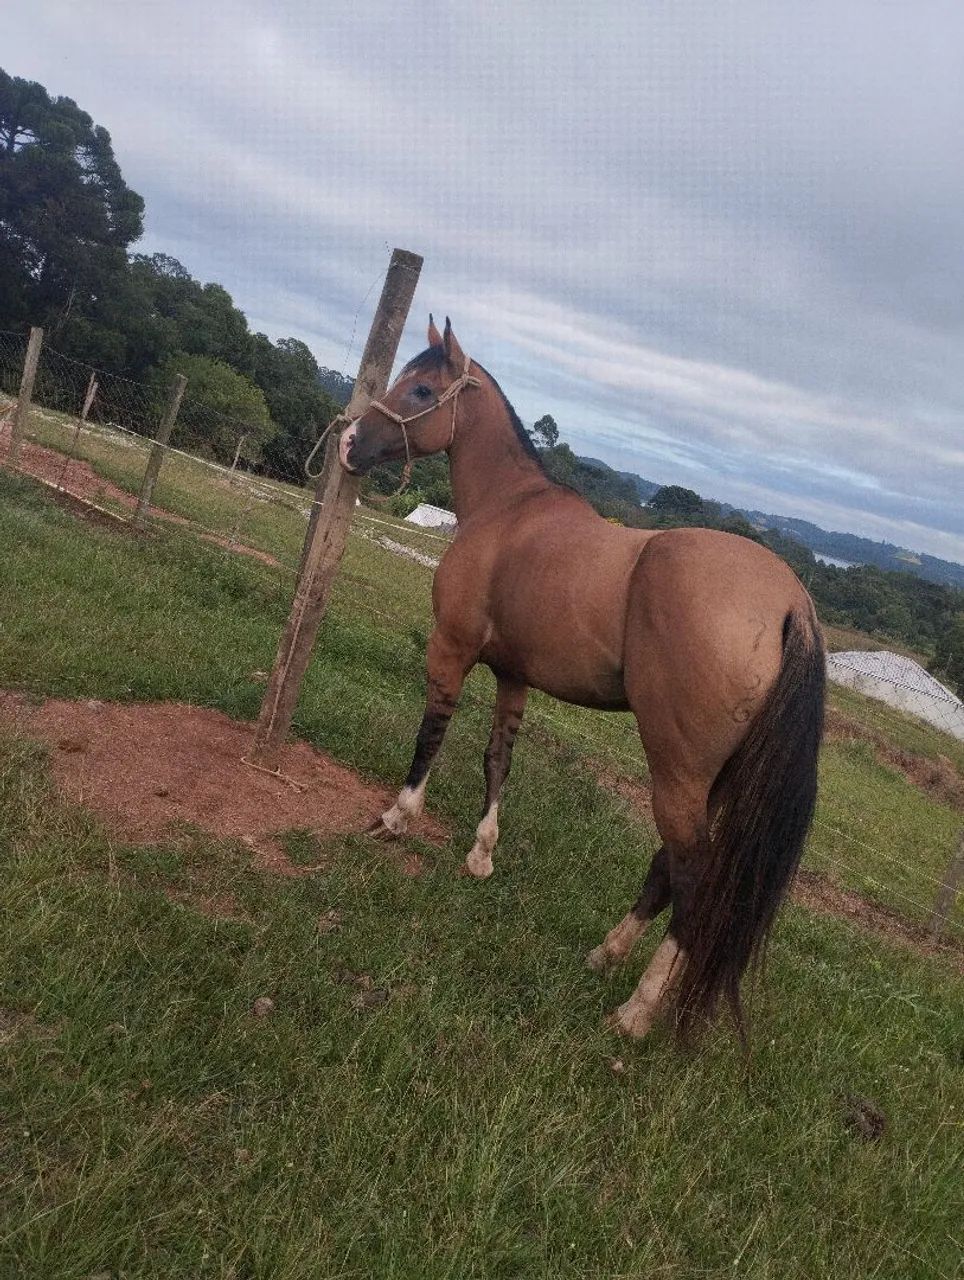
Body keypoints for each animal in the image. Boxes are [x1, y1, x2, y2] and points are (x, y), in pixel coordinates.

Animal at [338, 316, 825, 1039]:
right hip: (711, 783)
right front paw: (482, 854)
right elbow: (497, 759)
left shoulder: (451, 650)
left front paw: (398, 816)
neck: (509, 509)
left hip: (677, 772)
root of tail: (792, 601)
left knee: (693, 874)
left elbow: (432, 735)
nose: (349, 443)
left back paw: (636, 1012)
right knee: (667, 868)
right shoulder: (514, 677)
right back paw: (605, 954)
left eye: (421, 388)